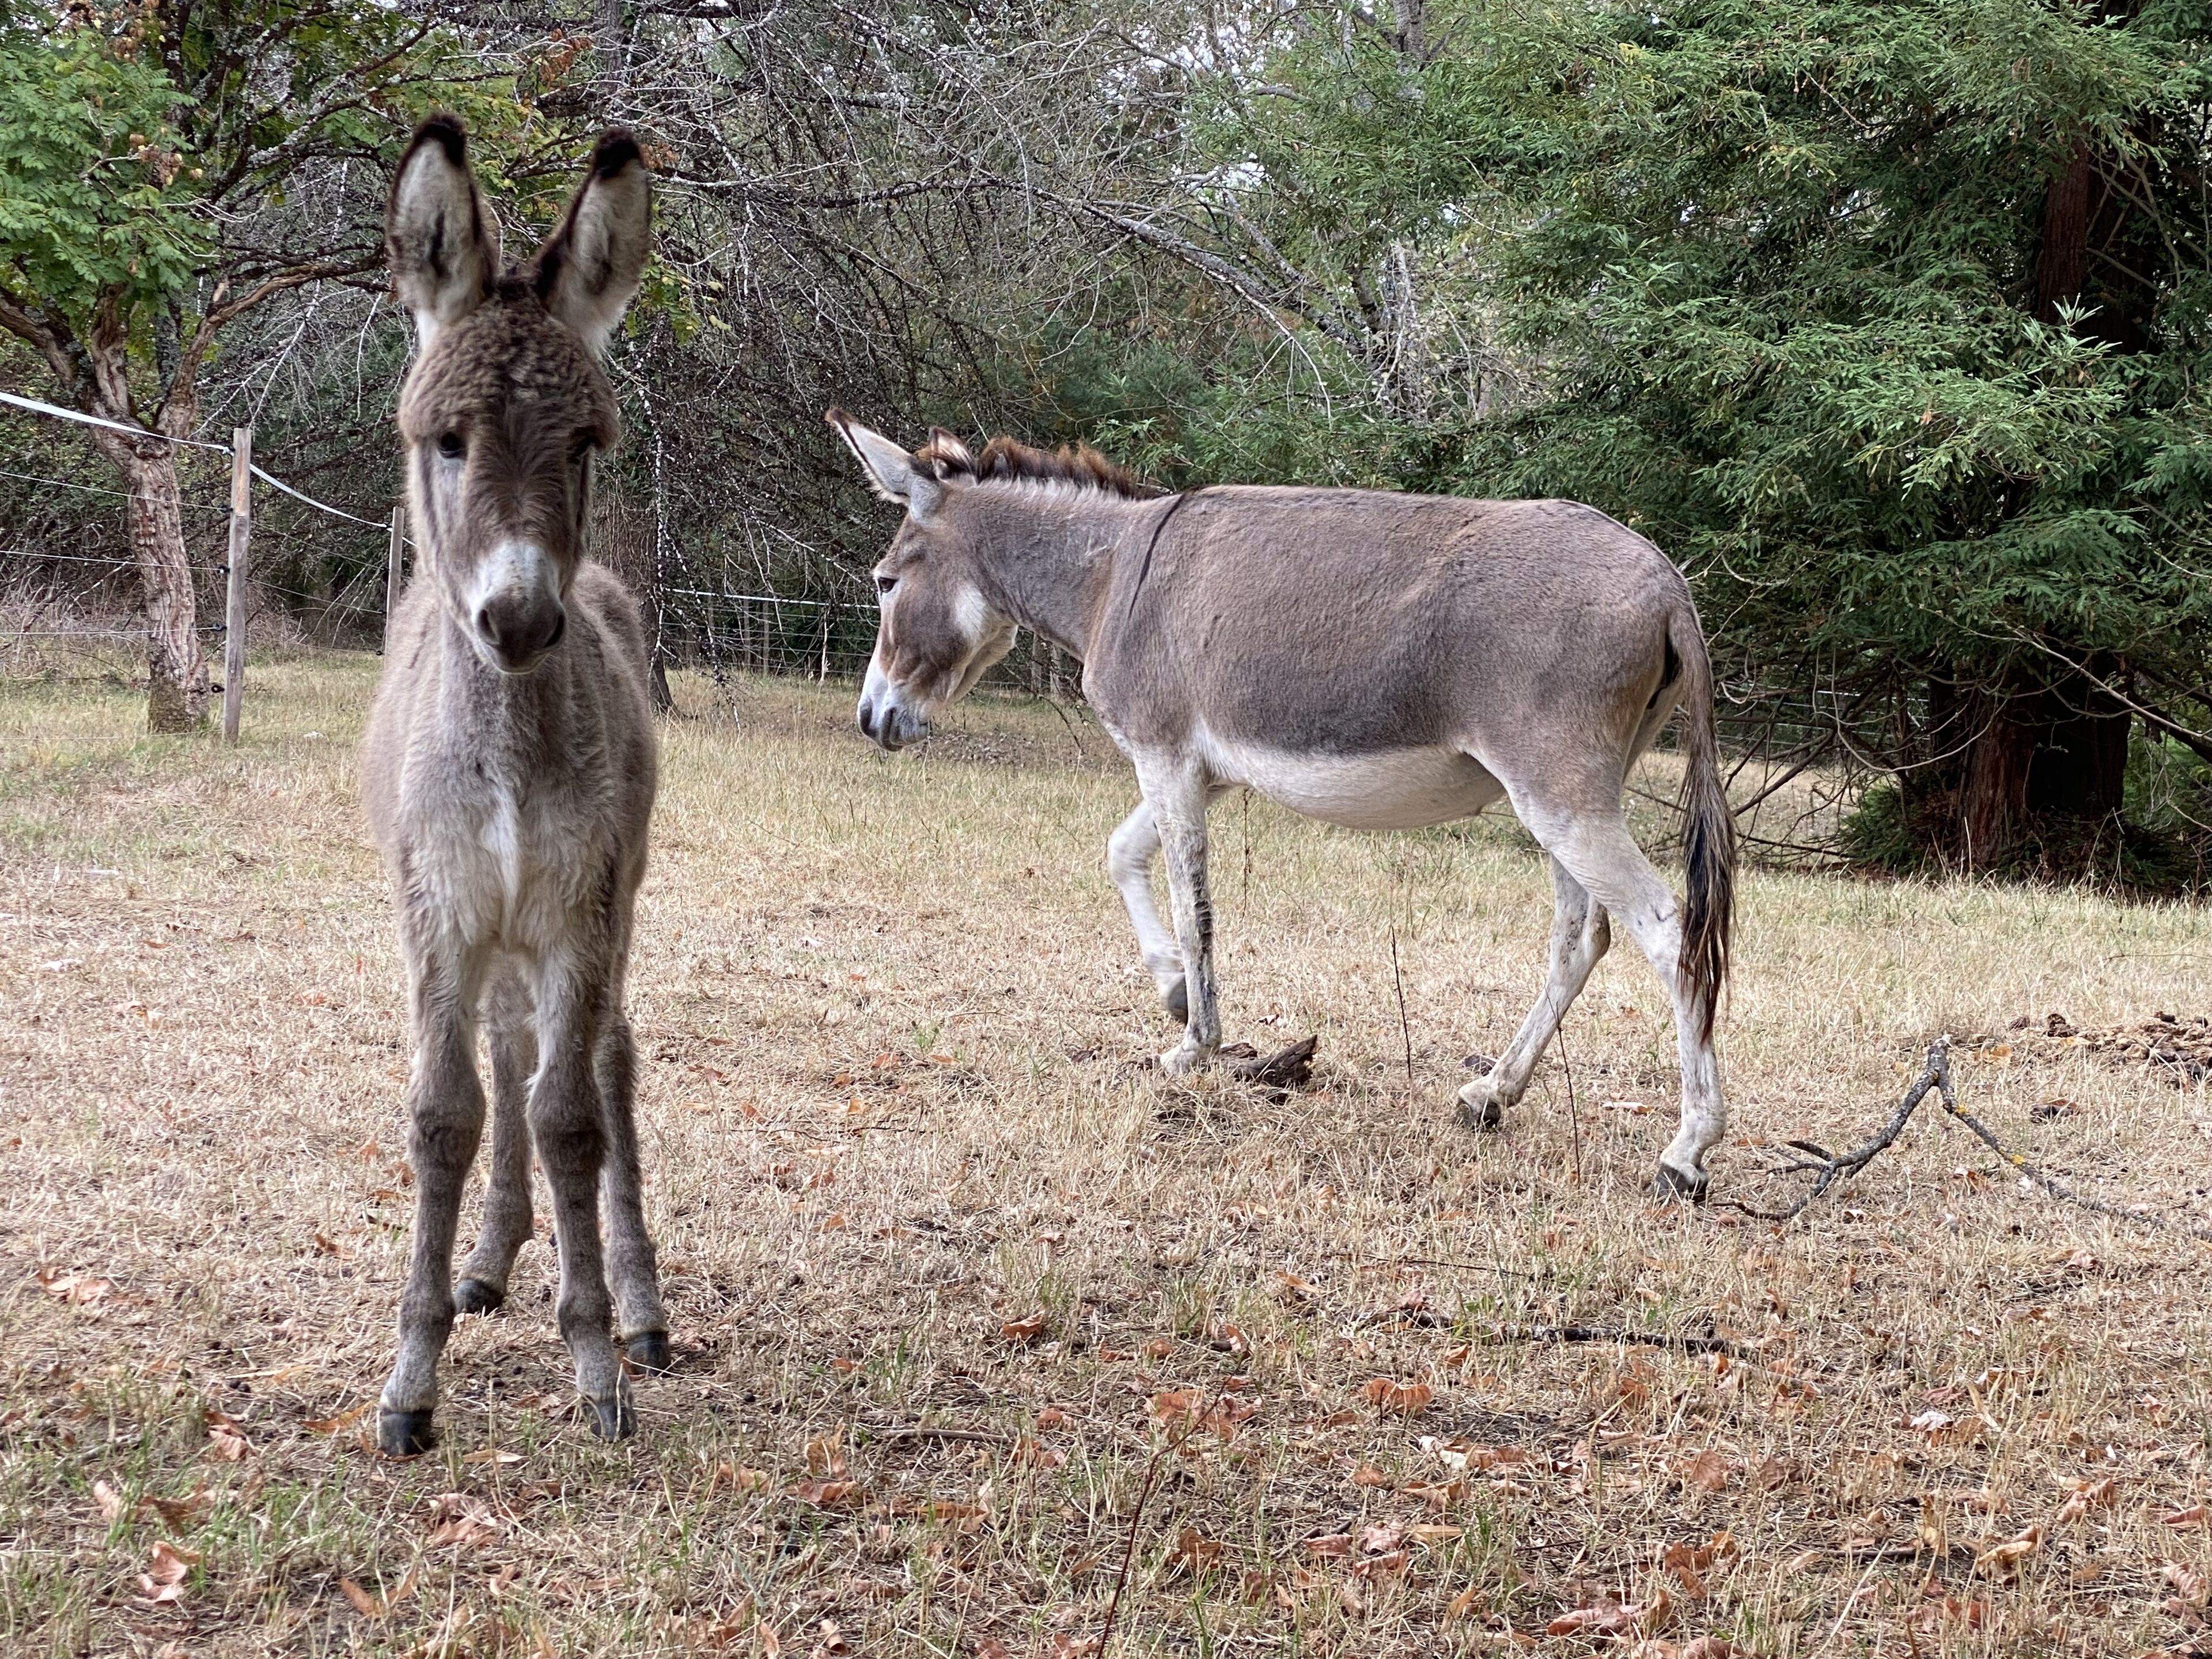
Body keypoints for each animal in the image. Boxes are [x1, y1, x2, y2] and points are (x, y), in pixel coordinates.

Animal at [828, 413, 1735, 1197]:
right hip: (1566, 797)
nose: (871, 721)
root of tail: (1669, 583)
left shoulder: (1164, 757)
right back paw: (1491, 1095)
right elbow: (1121, 855)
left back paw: (1687, 1151)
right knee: (1582, 936)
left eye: (885, 582)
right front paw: (1173, 991)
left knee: (1668, 929)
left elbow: (1194, 906)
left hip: (1560, 792)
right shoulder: (1206, 770)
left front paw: (1193, 1046)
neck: (1112, 574)